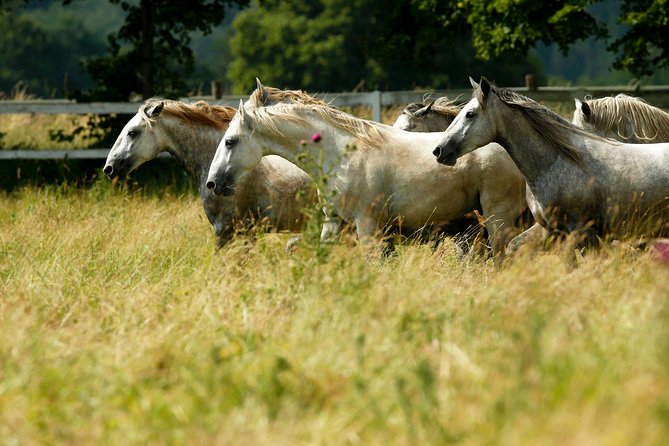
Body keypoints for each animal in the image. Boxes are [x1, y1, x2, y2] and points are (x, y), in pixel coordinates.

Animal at [206, 92, 528, 256]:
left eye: (230, 141)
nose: (213, 183)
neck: (344, 156)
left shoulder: (367, 224)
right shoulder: (335, 222)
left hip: (498, 217)